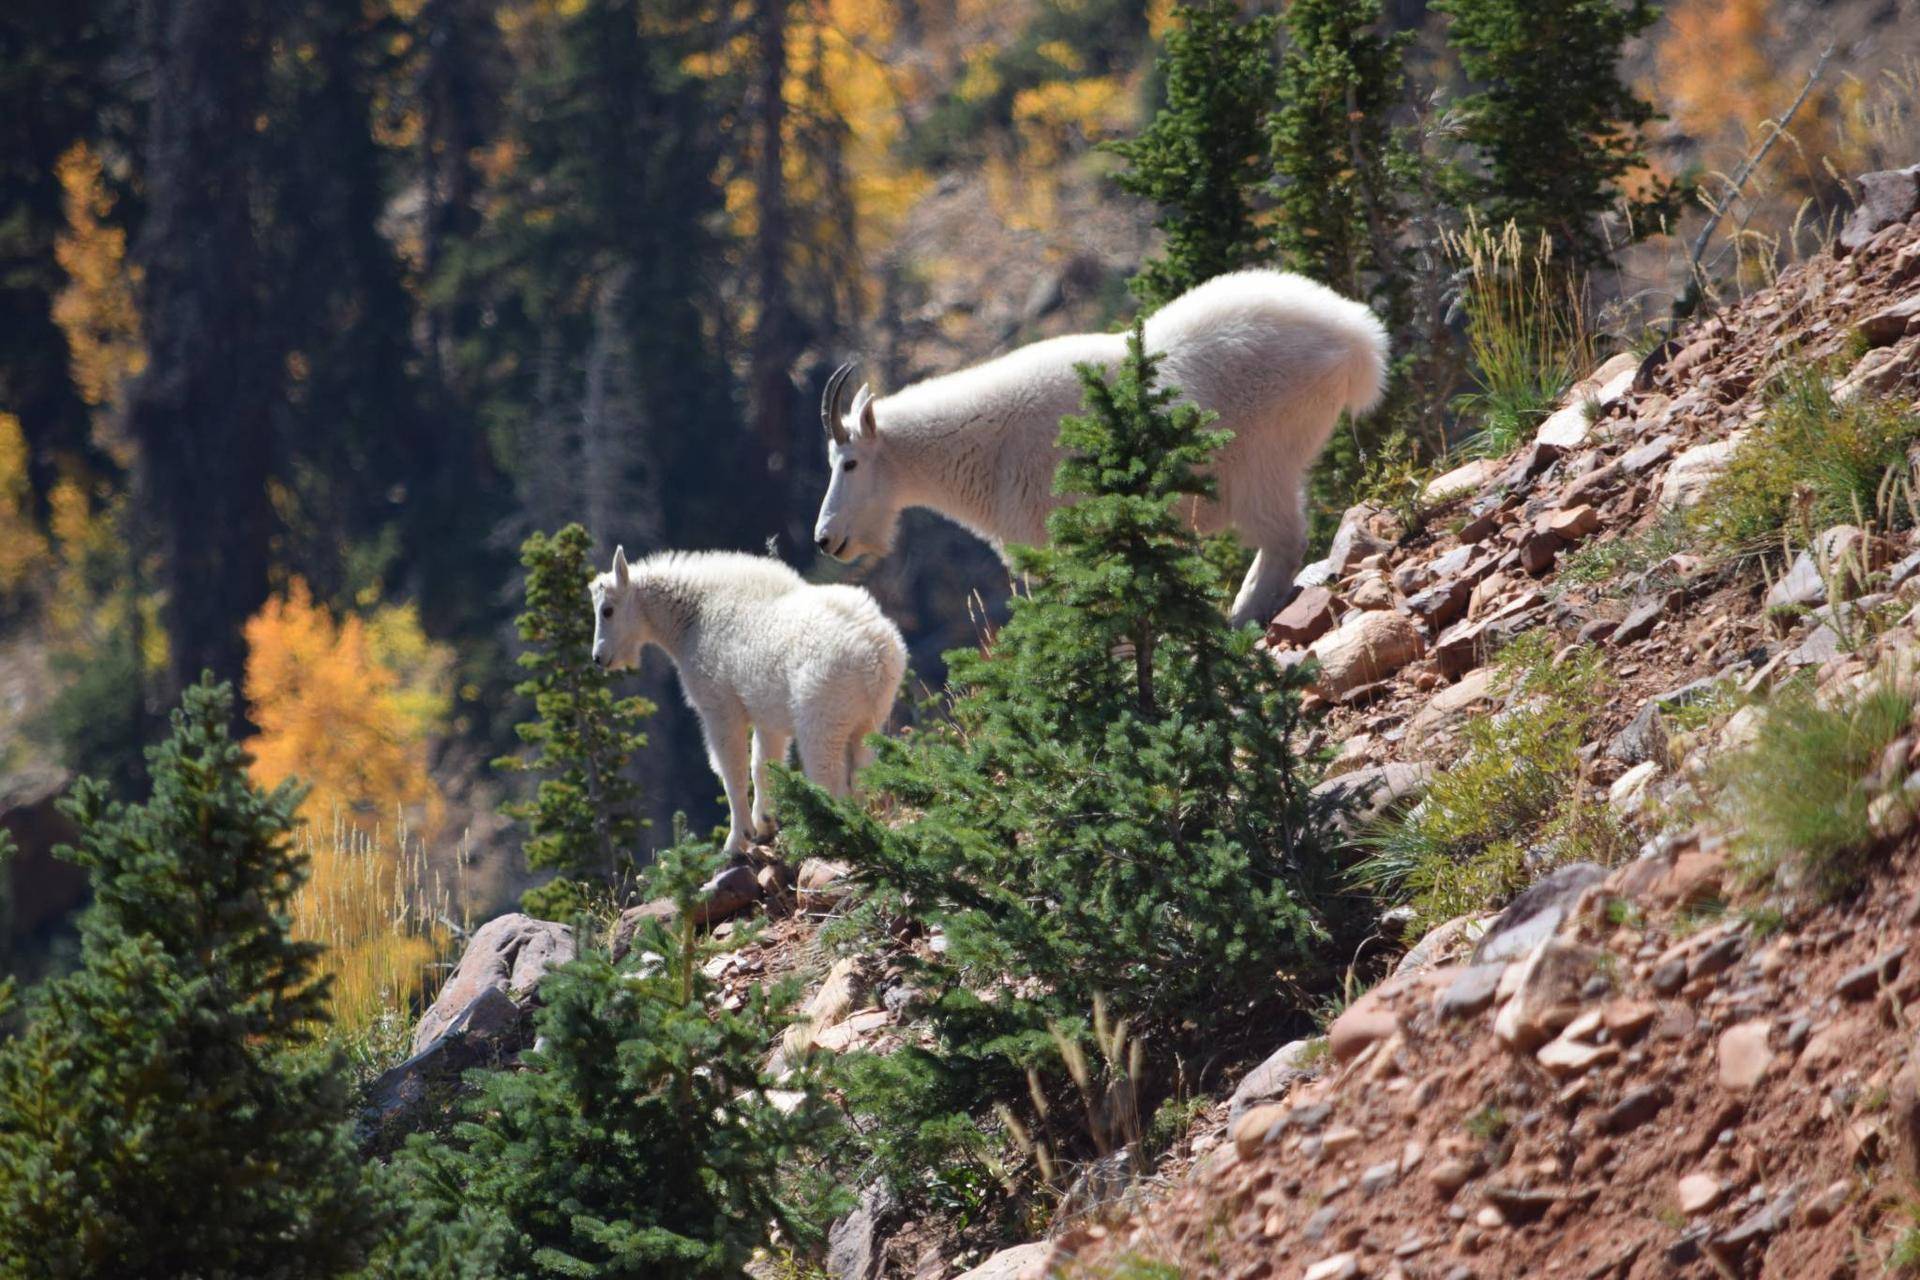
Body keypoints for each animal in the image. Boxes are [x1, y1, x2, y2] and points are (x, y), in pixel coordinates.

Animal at [591, 548, 906, 855]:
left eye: (607, 611)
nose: (598, 658)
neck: (692, 618)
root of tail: (875, 652)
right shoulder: (767, 716)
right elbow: (762, 766)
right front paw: (765, 825)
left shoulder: (719, 706)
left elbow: (732, 770)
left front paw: (736, 841)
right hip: (870, 719)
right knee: (862, 774)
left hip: (822, 717)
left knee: (828, 778)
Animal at [817, 272, 1390, 629]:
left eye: (850, 463)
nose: (825, 539)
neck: (985, 445)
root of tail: (1357, 337)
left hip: (1260, 461)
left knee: (1282, 540)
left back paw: (1239, 618)